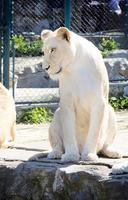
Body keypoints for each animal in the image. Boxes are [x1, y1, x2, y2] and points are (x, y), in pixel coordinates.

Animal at [41, 27, 122, 162]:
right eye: (44, 52)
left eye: (53, 49)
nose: (45, 68)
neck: (75, 67)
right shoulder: (66, 102)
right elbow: (68, 131)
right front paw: (71, 156)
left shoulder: (99, 102)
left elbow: (94, 131)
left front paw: (89, 155)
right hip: (57, 114)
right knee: (57, 144)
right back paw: (55, 154)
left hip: (111, 112)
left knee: (104, 146)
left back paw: (113, 152)